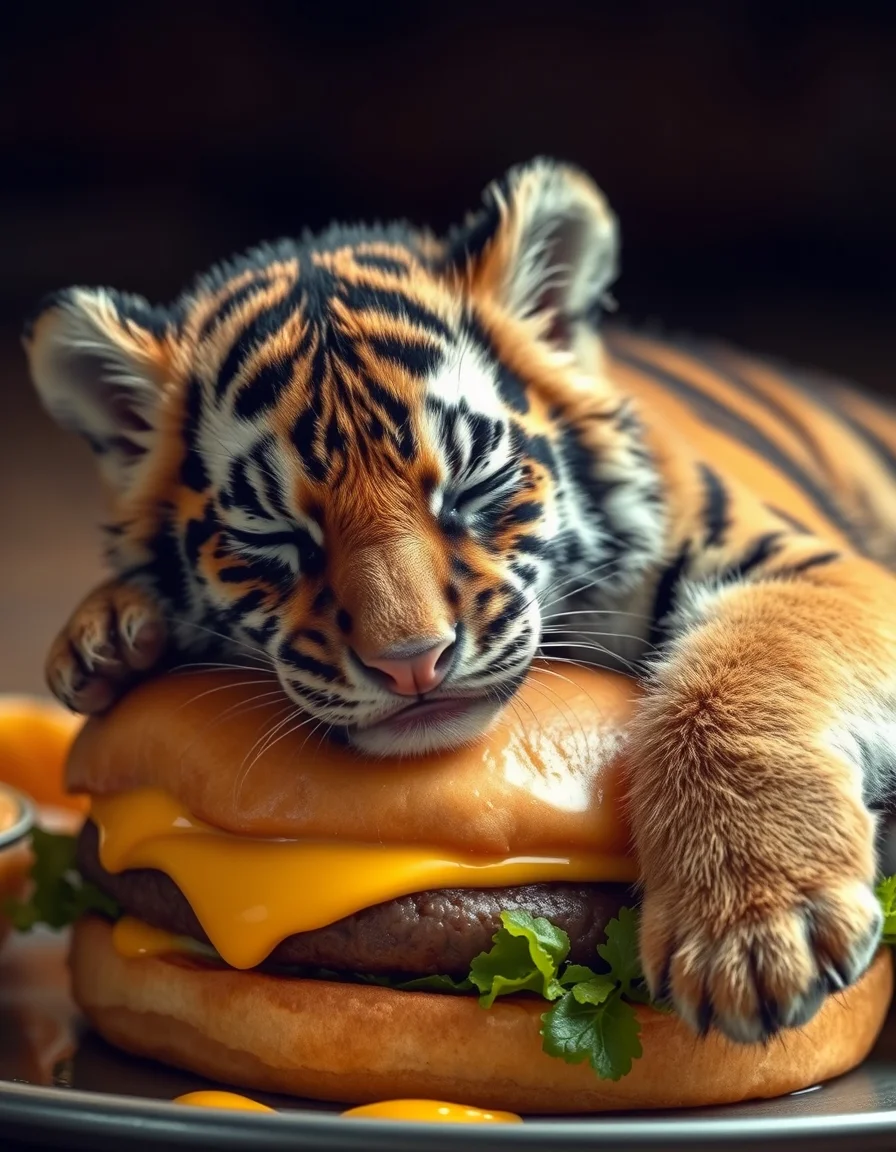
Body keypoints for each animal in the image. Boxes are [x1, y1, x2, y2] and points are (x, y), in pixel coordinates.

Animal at [23, 157, 896, 1048]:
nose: (411, 662)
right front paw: (108, 636)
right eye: (276, 532)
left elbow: (741, 681)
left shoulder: (808, 570)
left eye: (472, 488)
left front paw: (752, 932)